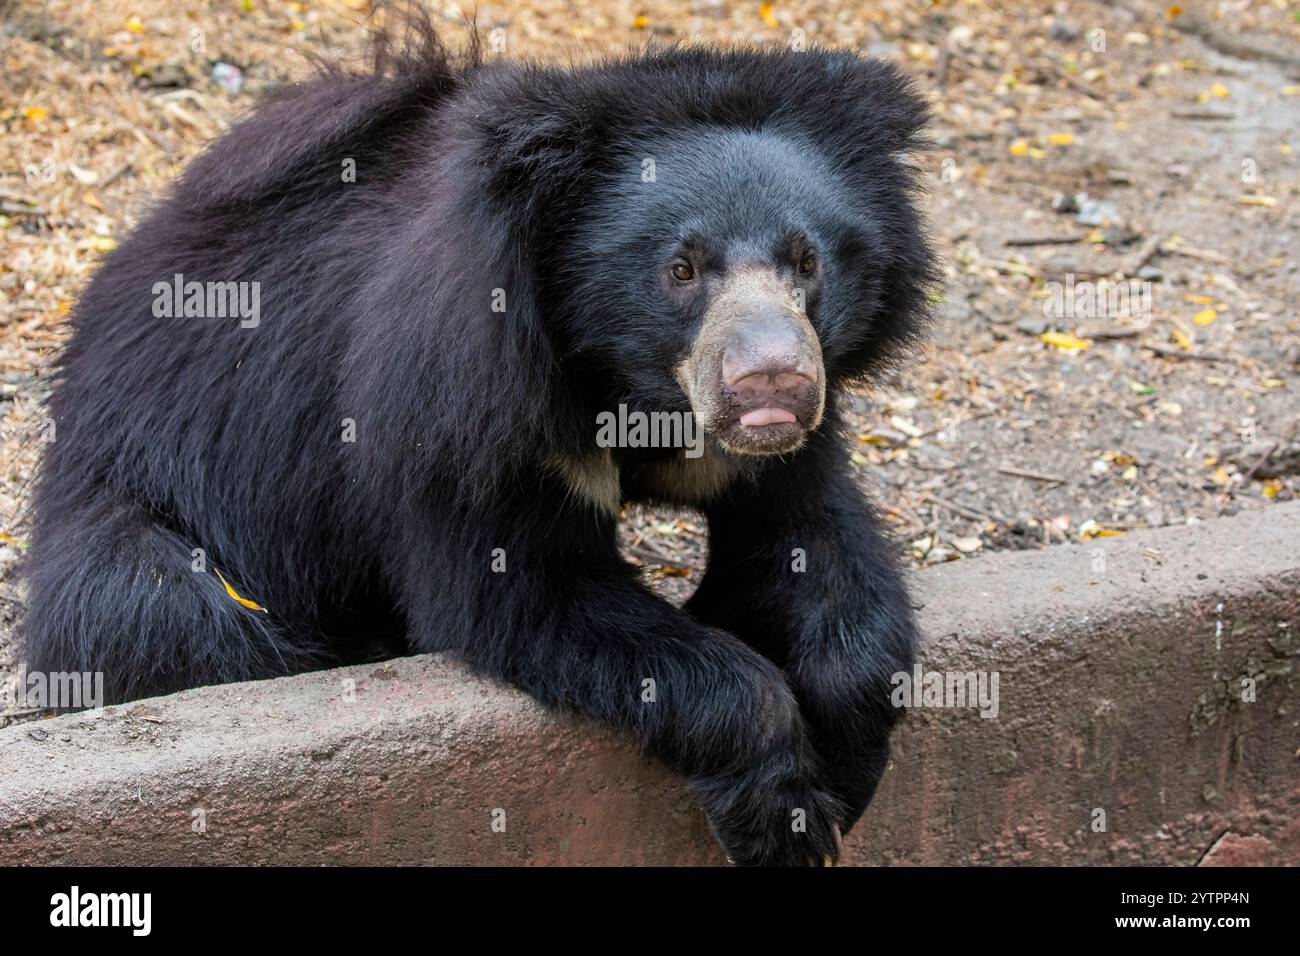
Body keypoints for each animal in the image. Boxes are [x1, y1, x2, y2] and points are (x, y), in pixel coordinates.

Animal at [20, 12, 935, 866]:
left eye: (807, 262)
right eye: (681, 269)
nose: (772, 386)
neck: (632, 387)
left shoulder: (770, 446)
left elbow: (807, 536)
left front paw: (848, 770)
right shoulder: (459, 413)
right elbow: (523, 589)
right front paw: (784, 808)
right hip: (146, 497)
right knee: (172, 611)